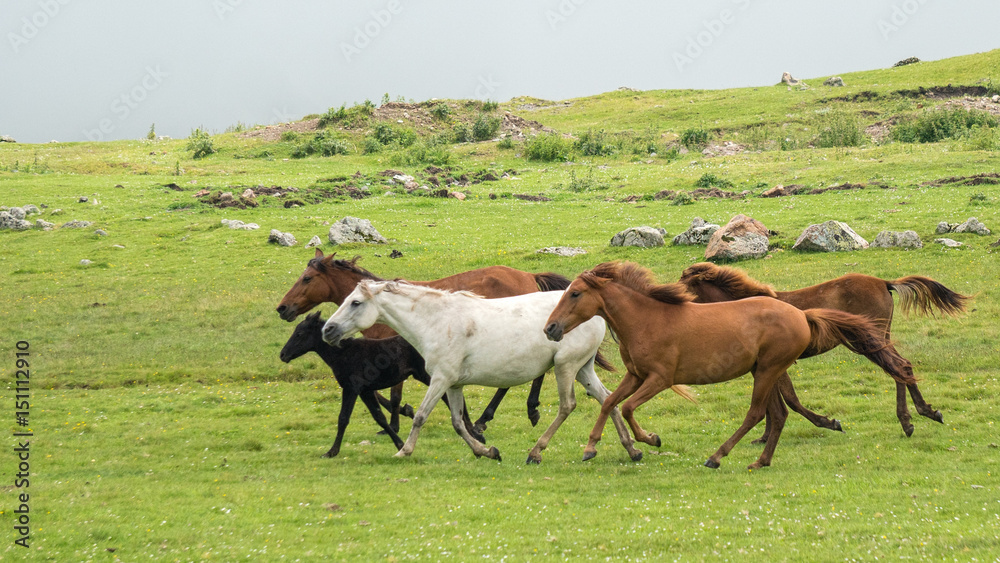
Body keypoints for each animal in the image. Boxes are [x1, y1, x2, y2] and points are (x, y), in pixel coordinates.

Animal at [274, 249, 576, 434]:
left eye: (307, 278)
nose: (282, 308)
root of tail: (529, 275)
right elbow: (384, 395)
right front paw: (403, 415)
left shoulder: (392, 359)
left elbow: (393, 395)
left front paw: (397, 422)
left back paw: (507, 414)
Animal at [280, 312, 482, 458]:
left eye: (299, 333)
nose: (283, 355)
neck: (343, 354)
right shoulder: (365, 391)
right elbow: (380, 417)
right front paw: (400, 444)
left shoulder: (351, 388)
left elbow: (343, 418)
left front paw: (331, 452)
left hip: (429, 375)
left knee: (451, 399)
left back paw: (475, 433)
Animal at [320, 280, 644, 462]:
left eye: (356, 302)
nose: (327, 330)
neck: (436, 321)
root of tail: (597, 314)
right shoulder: (453, 385)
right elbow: (458, 423)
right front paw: (486, 451)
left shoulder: (440, 379)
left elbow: (422, 416)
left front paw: (404, 451)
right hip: (582, 369)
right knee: (607, 399)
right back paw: (630, 449)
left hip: (565, 367)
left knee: (568, 405)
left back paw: (536, 452)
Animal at [544, 264, 916, 472]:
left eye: (575, 294)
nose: (550, 328)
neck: (646, 319)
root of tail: (803, 314)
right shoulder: (635, 375)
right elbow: (610, 402)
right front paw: (592, 448)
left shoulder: (660, 378)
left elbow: (629, 408)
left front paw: (649, 439)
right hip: (769, 370)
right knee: (779, 414)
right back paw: (761, 461)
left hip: (768, 370)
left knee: (758, 413)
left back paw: (717, 456)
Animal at [676, 262, 964, 438]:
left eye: (683, 285)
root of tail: (884, 282)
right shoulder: (766, 367)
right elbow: (775, 401)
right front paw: (765, 437)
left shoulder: (773, 365)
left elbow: (789, 400)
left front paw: (829, 423)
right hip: (880, 338)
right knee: (901, 367)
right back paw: (920, 415)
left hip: (869, 341)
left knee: (898, 367)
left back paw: (912, 420)